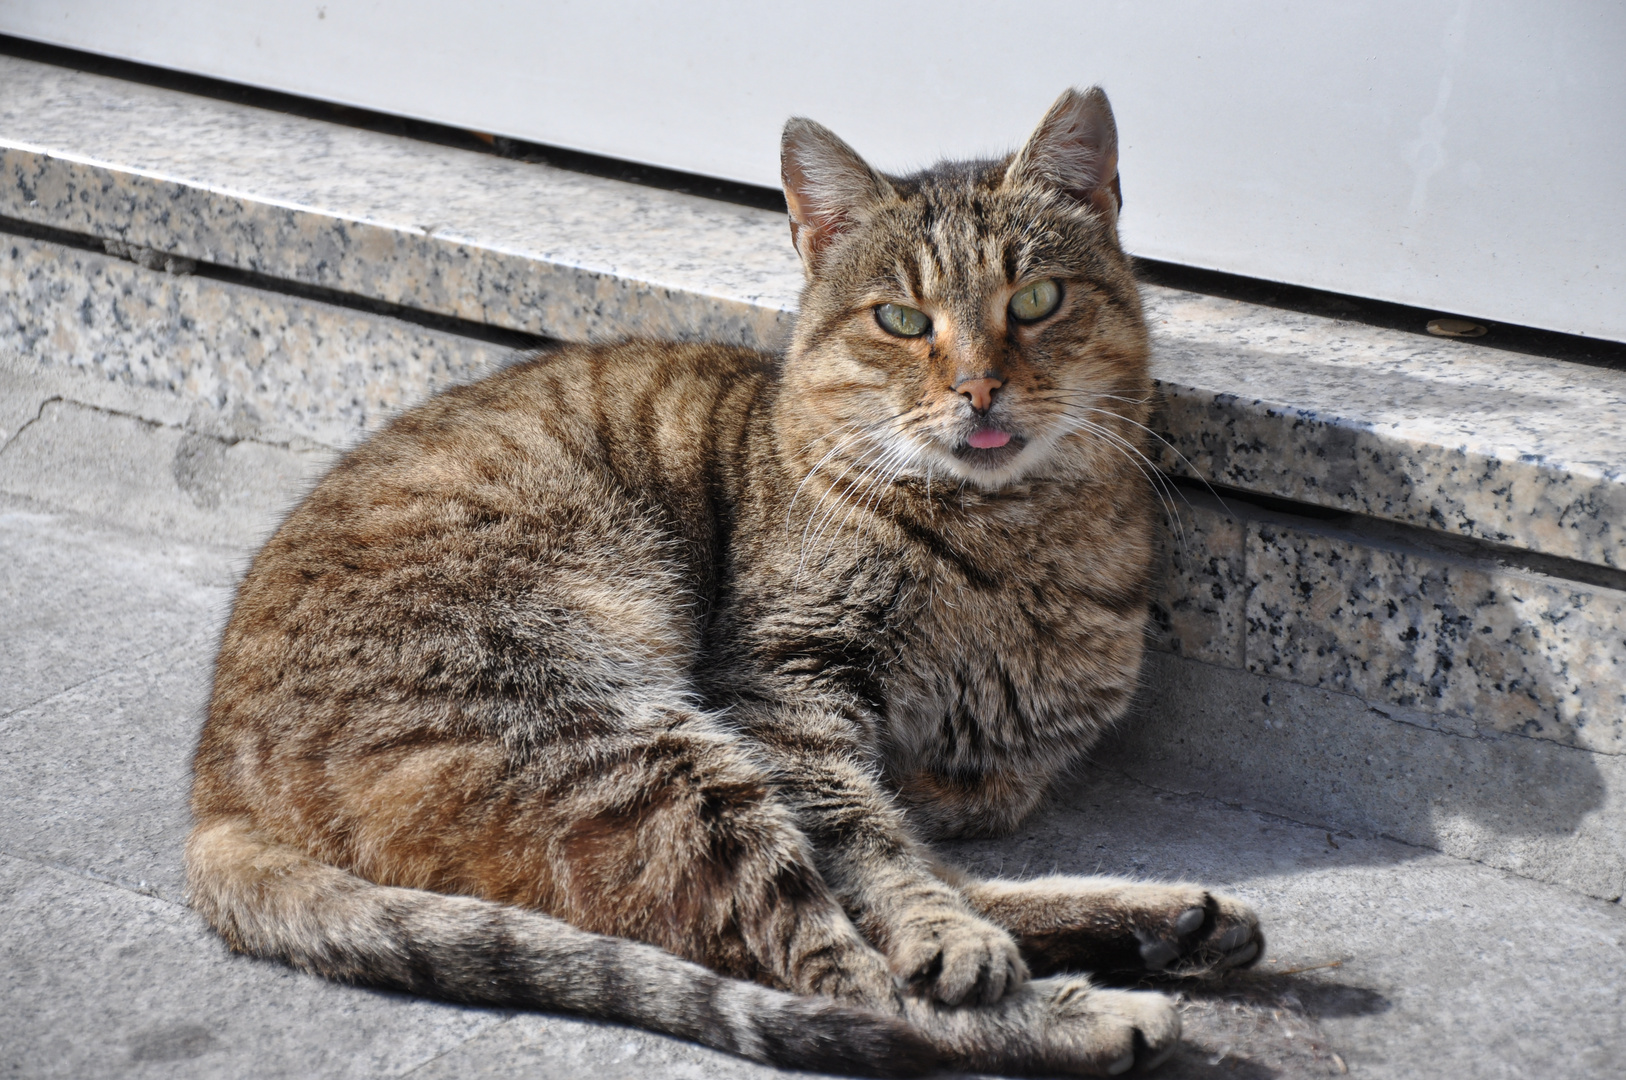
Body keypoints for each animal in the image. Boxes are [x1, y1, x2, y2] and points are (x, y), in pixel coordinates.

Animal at [184, 88, 1261, 1073]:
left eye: (1036, 300)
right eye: (901, 320)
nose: (979, 389)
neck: (1007, 538)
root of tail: (209, 790)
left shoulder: (977, 778)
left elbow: (909, 844)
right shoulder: (785, 695)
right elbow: (877, 856)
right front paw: (956, 944)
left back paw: (1174, 924)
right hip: (626, 744)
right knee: (846, 982)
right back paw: (1088, 1010)